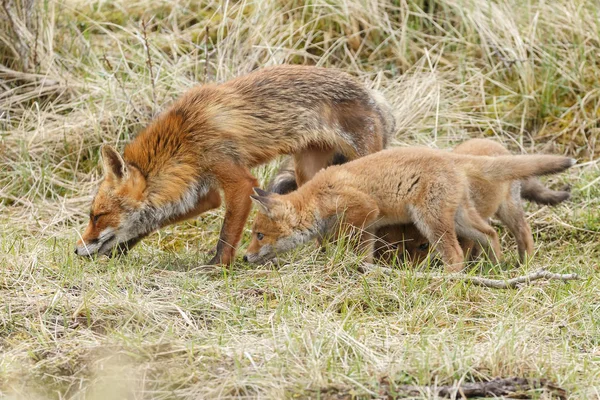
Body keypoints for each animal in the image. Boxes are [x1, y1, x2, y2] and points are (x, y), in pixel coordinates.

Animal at [74, 65, 394, 266]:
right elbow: (155, 219)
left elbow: (227, 235)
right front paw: (119, 250)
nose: (76, 250)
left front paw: (218, 267)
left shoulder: (236, 178)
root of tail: (375, 96)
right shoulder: (203, 192)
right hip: (309, 171)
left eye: (97, 216)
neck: (183, 137)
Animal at [246, 147, 576, 272]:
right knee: (490, 234)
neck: (318, 197)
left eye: (259, 235)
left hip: (431, 221)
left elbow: (351, 245)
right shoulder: (370, 227)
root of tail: (451, 157)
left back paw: (449, 281)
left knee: (456, 255)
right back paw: (496, 270)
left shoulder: (363, 210)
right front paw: (365, 272)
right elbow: (364, 254)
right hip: (460, 218)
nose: (245, 257)